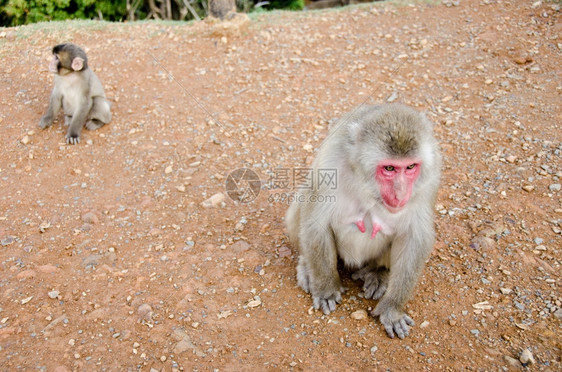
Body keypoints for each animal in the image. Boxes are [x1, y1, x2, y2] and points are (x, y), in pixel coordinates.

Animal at [286, 103, 440, 338]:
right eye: (389, 168)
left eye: (411, 167)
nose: (401, 194)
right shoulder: (330, 165)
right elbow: (316, 223)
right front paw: (326, 289)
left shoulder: (429, 180)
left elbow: (415, 238)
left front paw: (392, 309)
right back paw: (306, 266)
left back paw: (379, 273)